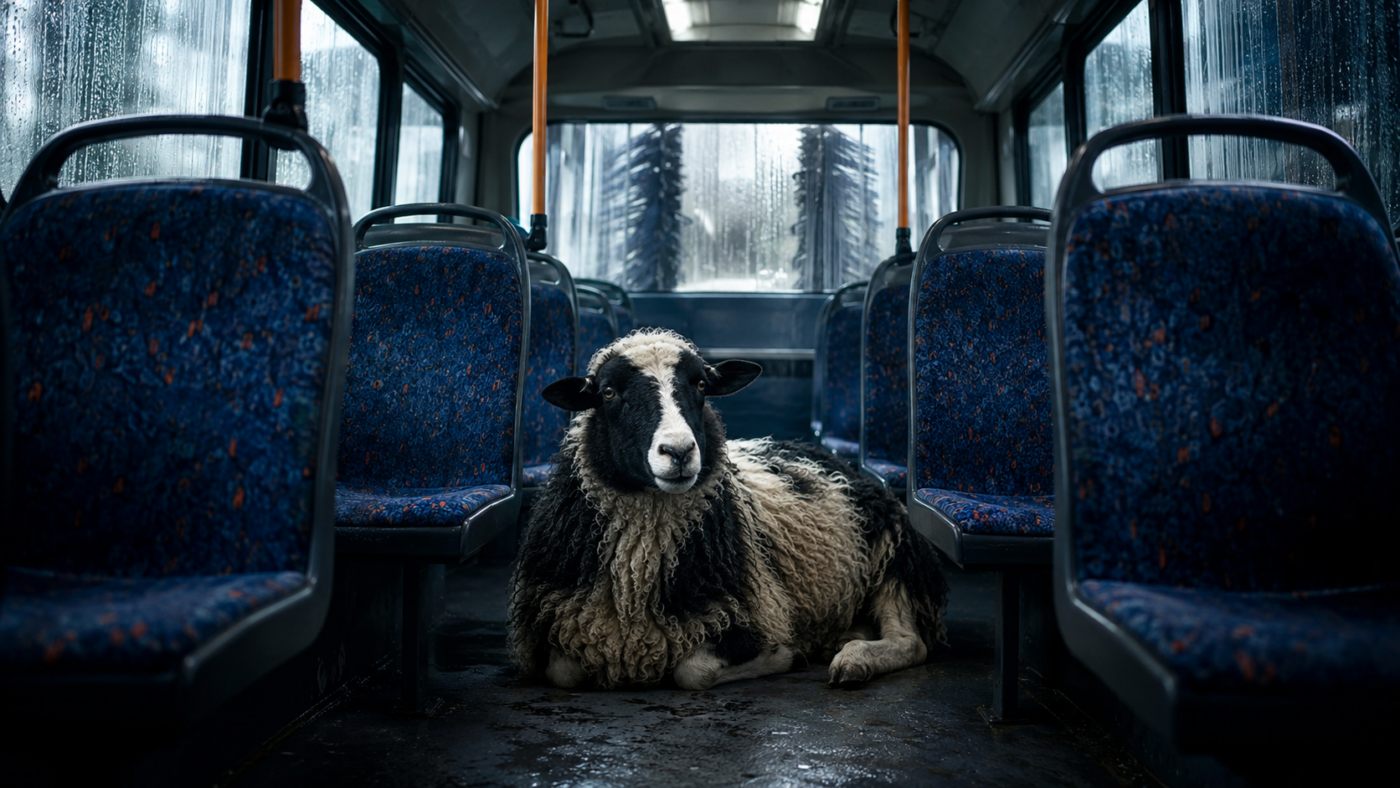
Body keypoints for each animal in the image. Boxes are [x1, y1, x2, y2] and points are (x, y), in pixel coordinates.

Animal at [509, 328, 949, 690]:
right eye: (608, 392)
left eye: (701, 384)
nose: (679, 452)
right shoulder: (556, 622)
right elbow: (563, 671)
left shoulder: (753, 614)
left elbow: (693, 672)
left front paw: (786, 655)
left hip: (894, 554)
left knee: (911, 642)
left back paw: (854, 659)